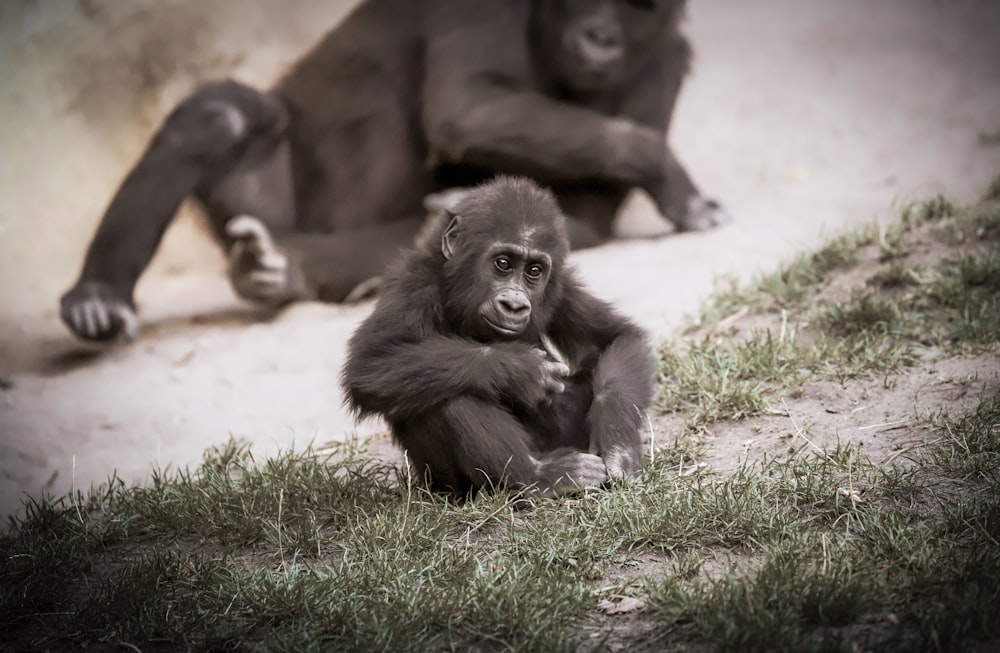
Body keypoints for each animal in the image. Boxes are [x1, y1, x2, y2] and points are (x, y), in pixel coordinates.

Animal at [60, 1, 728, 342]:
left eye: (636, 5)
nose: (602, 36)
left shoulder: (663, 54)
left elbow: (580, 218)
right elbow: (468, 106)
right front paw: (667, 168)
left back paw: (282, 268)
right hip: (260, 200)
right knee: (219, 115)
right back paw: (99, 295)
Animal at [344, 176, 656, 496]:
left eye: (534, 271)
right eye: (503, 263)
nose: (514, 304)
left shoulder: (563, 287)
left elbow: (616, 337)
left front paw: (618, 443)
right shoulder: (412, 284)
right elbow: (372, 362)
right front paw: (521, 369)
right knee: (446, 391)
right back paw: (539, 476)